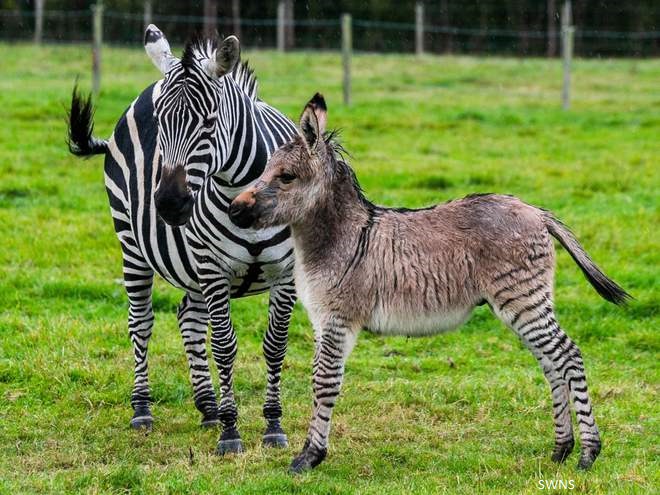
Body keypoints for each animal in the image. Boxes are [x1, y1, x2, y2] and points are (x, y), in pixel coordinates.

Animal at [67, 26, 296, 454]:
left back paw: (207, 406)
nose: (170, 204)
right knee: (141, 322)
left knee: (188, 318)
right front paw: (231, 432)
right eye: (160, 123)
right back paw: (143, 409)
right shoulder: (213, 268)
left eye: (208, 122)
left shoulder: (285, 272)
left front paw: (273, 425)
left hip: (191, 266)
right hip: (132, 244)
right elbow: (224, 345)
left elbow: (275, 345)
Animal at [227, 94, 628, 476]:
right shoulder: (322, 322)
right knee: (551, 362)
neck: (340, 236)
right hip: (522, 303)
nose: (234, 209)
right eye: (266, 170)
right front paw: (311, 453)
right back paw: (561, 450)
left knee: (567, 355)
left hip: (523, 298)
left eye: (287, 176)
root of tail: (536, 212)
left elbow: (323, 382)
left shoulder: (337, 319)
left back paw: (588, 453)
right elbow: (321, 379)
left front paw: (309, 457)